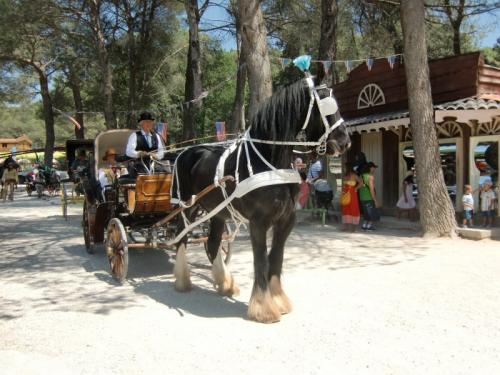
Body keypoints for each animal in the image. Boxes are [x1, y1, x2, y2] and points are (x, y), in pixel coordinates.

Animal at [174, 76, 350, 324]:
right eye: (326, 107)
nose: (345, 142)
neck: (269, 162)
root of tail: (184, 152)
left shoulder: (286, 220)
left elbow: (276, 258)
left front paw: (278, 300)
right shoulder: (258, 222)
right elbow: (261, 260)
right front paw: (263, 309)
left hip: (217, 212)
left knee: (213, 242)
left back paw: (224, 283)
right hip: (186, 208)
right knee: (181, 238)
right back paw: (182, 281)